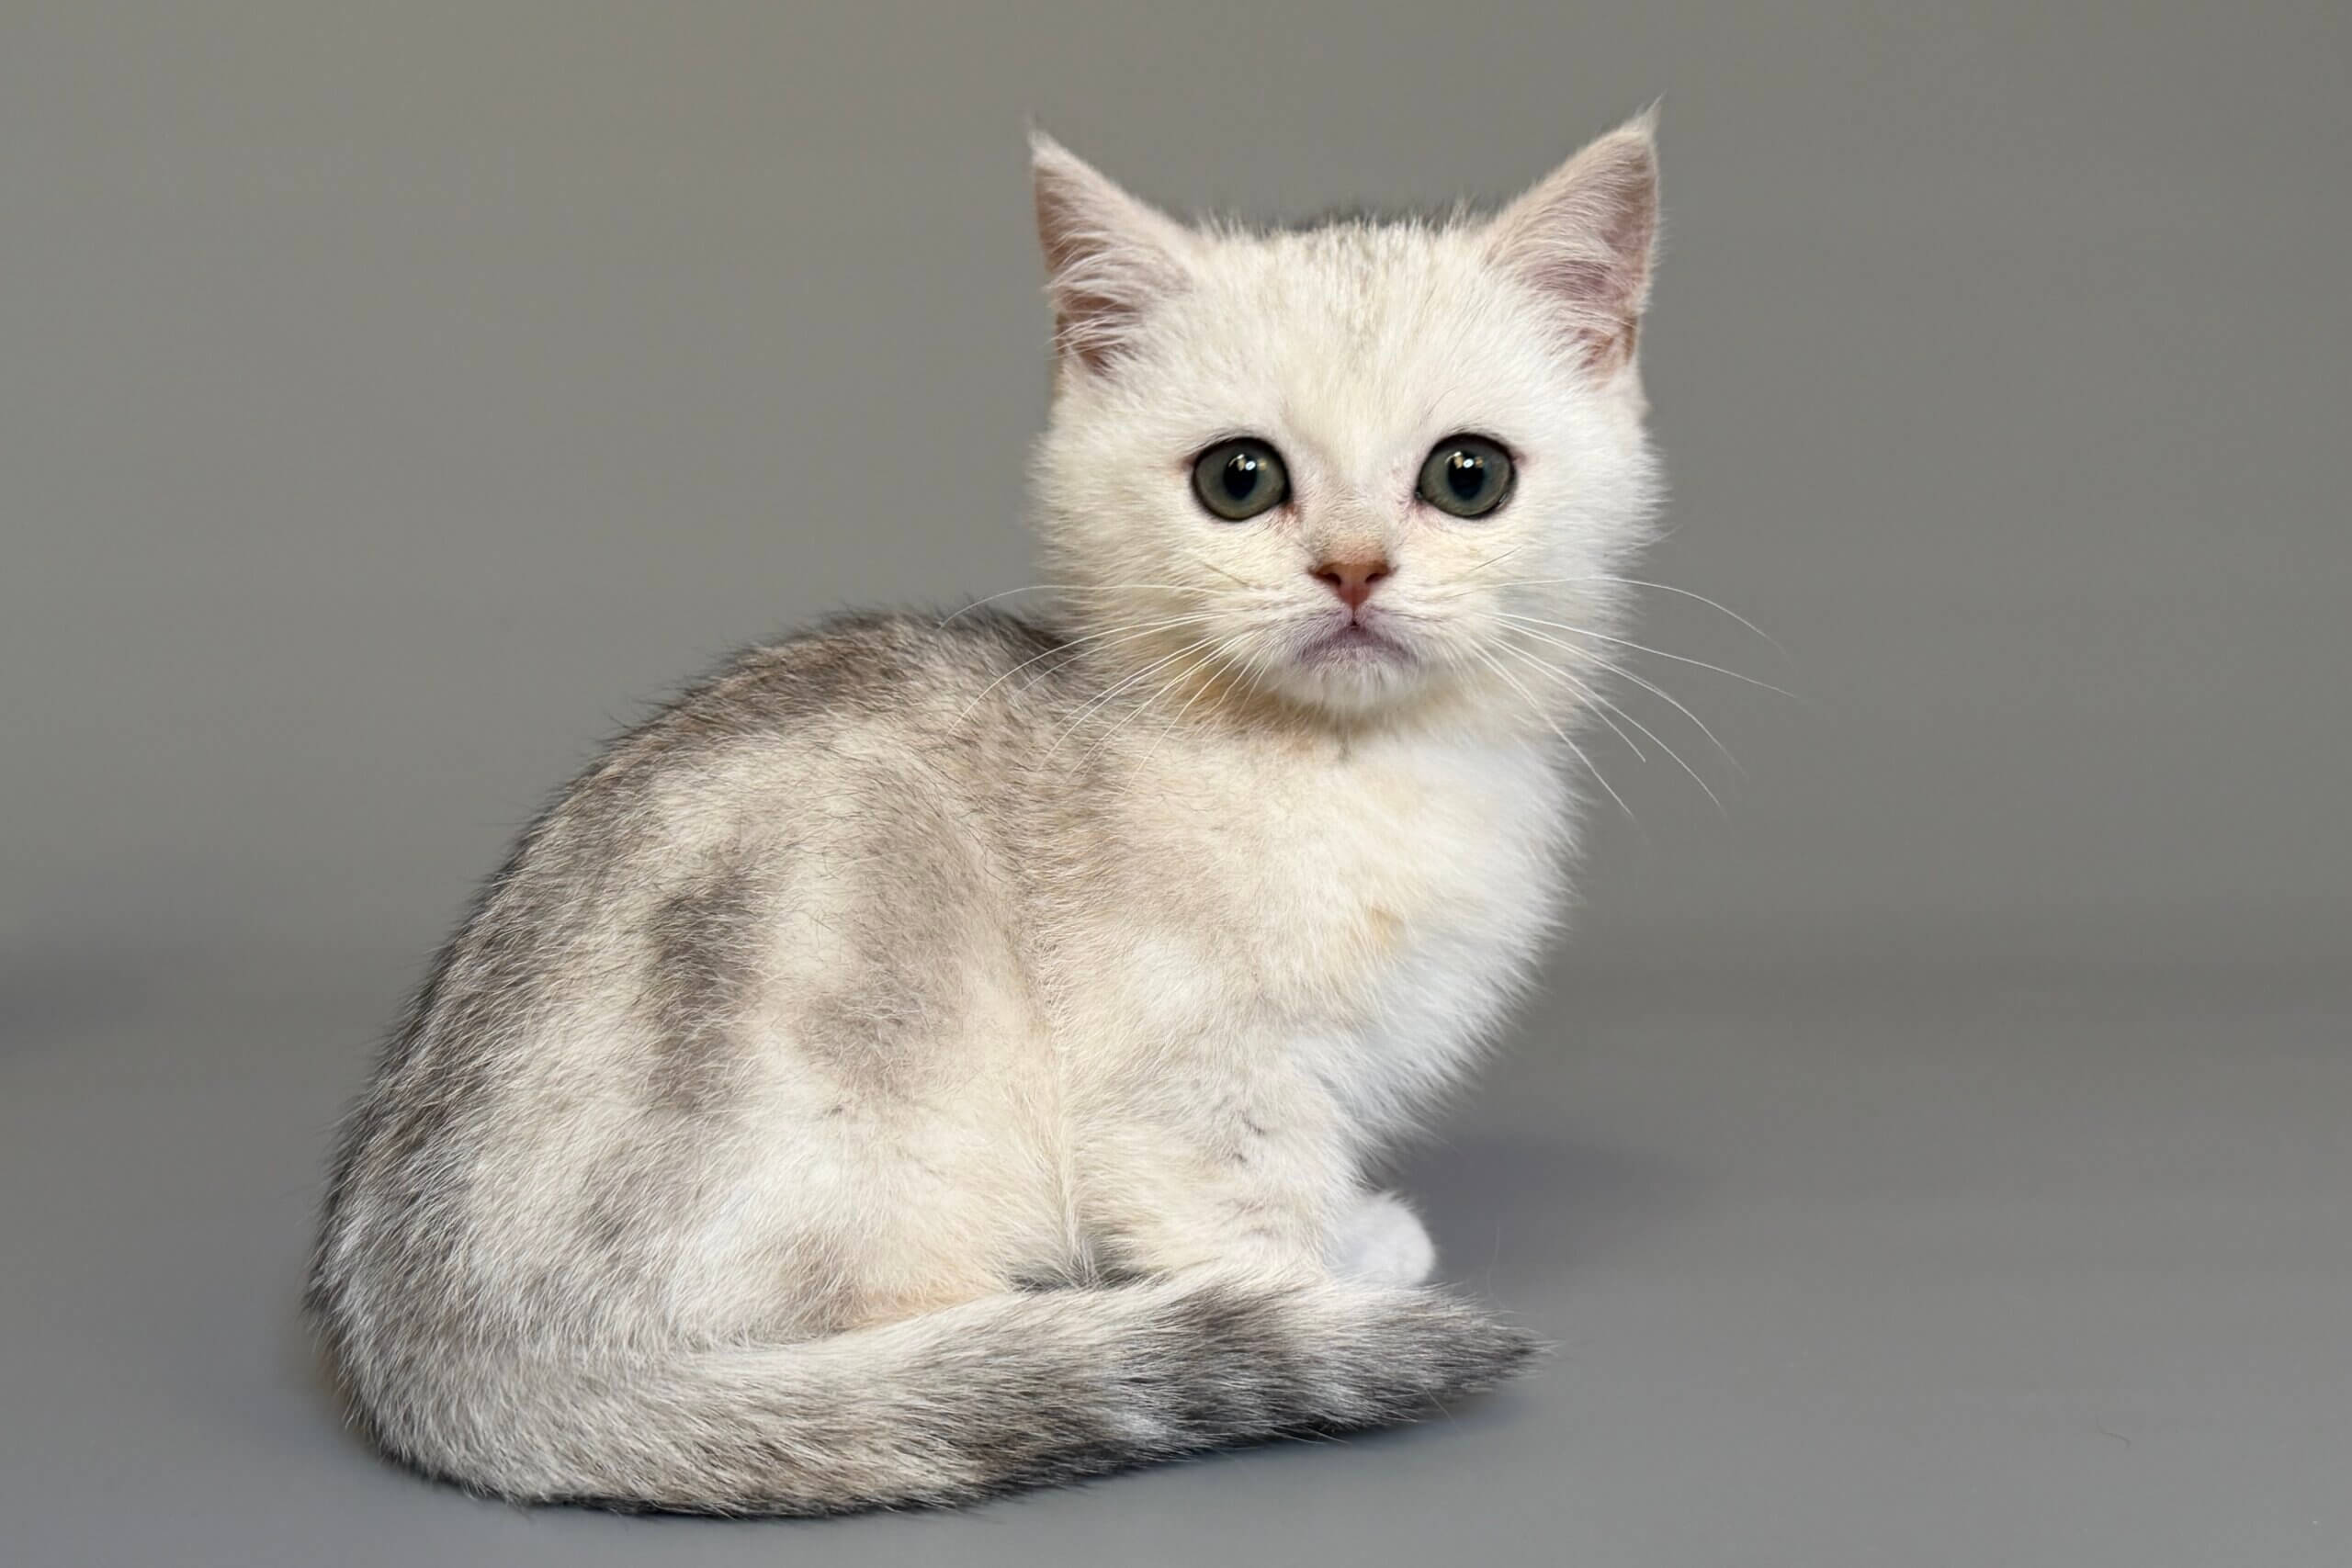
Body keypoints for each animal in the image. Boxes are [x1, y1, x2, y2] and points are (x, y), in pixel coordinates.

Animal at [309, 111, 1663, 1515]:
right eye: (1239, 479)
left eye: (1468, 476)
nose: (1352, 568)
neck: (1350, 772)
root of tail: (422, 1345)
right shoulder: (1189, 1079)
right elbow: (1249, 1218)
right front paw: (1324, 1293)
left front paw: (1354, 1238)